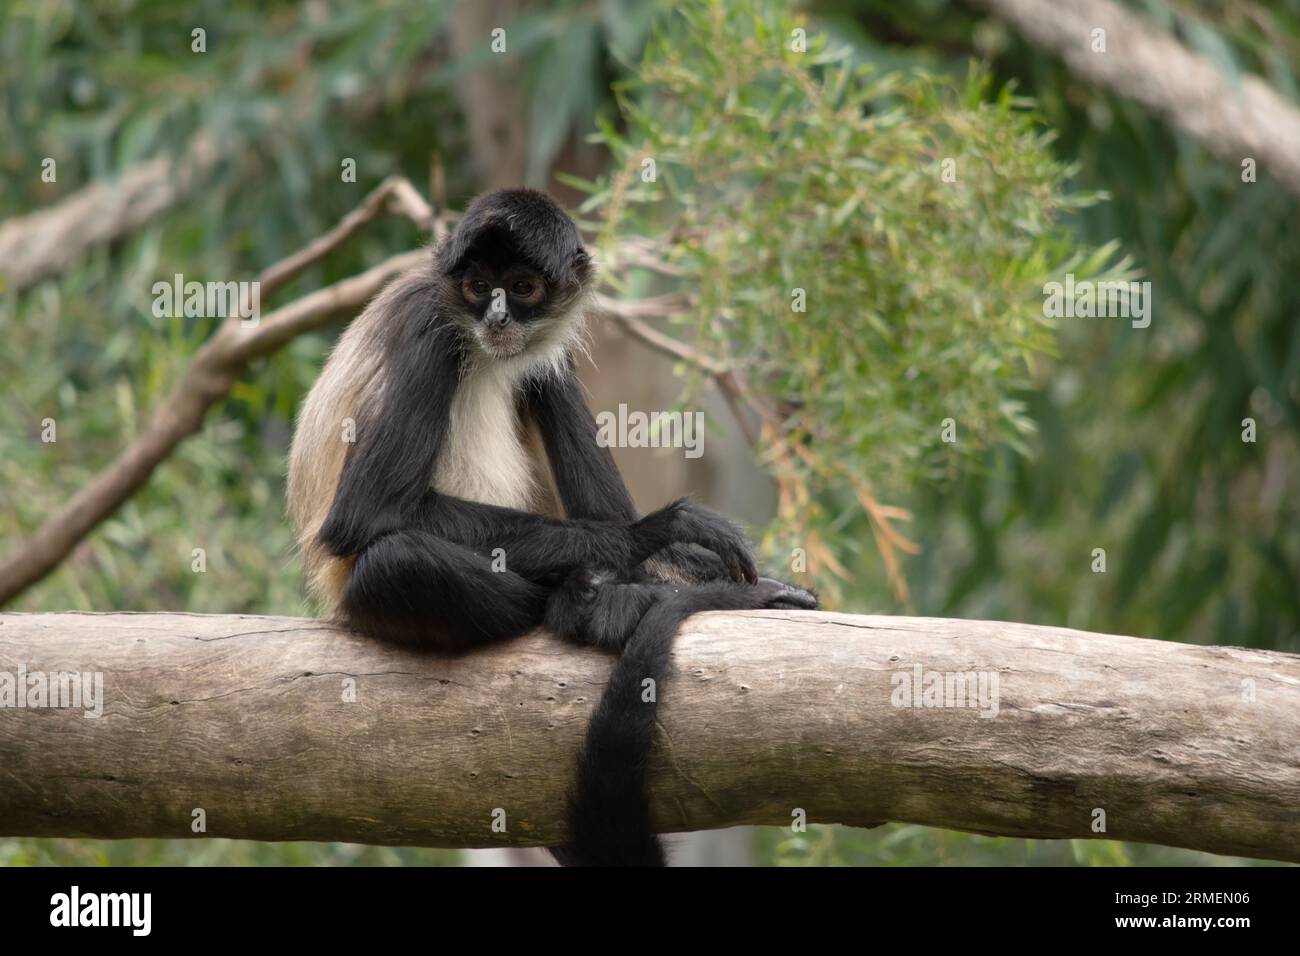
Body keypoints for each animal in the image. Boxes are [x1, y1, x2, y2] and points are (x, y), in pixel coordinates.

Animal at [287, 187, 811, 868]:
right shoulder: (431, 329)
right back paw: (594, 602)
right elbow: (366, 514)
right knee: (397, 562)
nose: (497, 318)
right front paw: (656, 533)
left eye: (522, 286)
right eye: (478, 286)